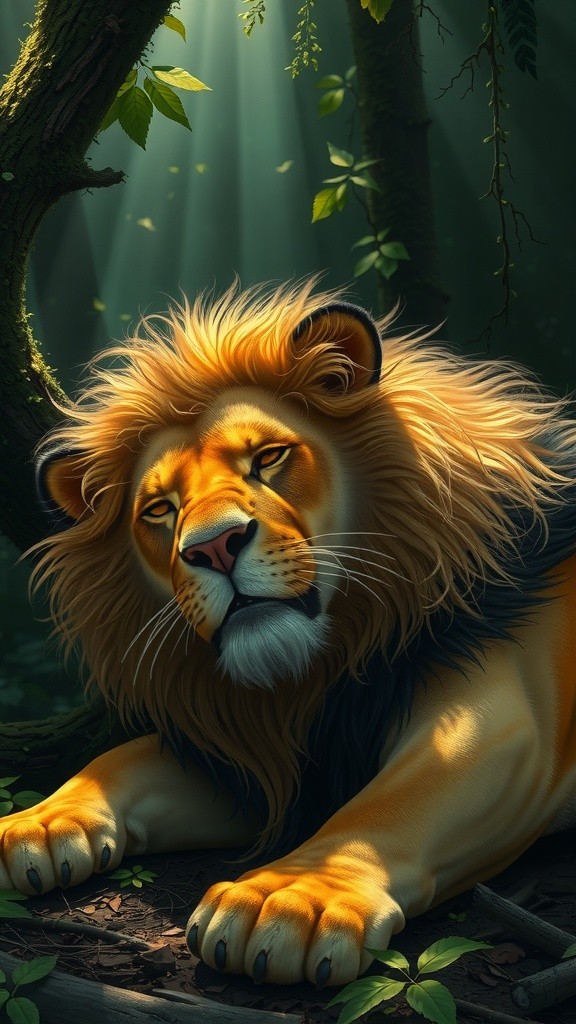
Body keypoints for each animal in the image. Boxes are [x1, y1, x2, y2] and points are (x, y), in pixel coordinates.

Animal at [1, 279, 575, 988]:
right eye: (160, 510)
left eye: (269, 457)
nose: (213, 547)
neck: (322, 672)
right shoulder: (261, 760)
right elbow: (122, 756)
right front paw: (38, 823)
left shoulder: (506, 714)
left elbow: (392, 803)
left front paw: (289, 897)